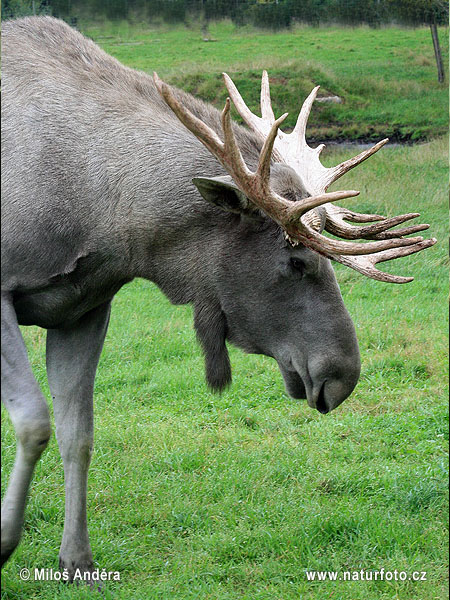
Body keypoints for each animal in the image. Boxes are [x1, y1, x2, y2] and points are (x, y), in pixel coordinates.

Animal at [0, 15, 436, 576]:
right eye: (296, 260)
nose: (343, 376)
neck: (104, 215)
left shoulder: (85, 307)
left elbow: (79, 433)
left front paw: (77, 561)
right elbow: (34, 420)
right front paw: (7, 540)